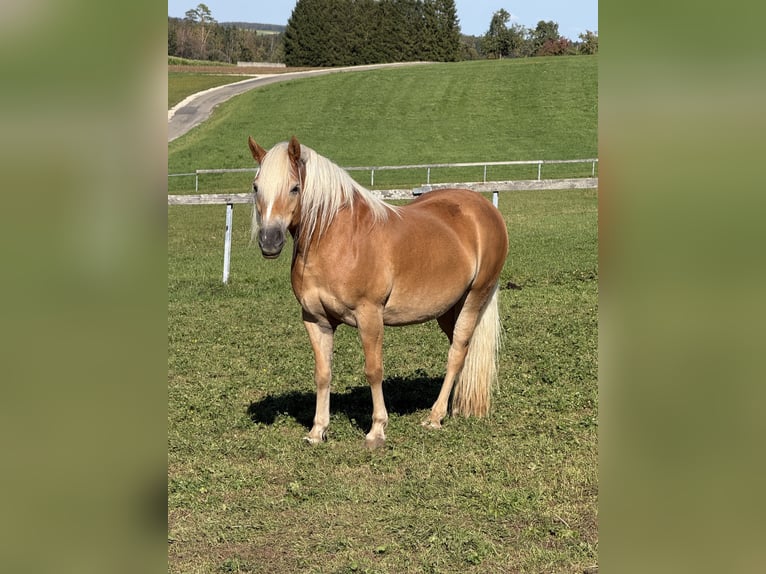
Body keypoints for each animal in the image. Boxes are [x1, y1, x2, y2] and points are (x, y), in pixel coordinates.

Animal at [247, 136, 509, 448]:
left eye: (295, 187)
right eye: (256, 187)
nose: (269, 241)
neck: (338, 238)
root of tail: (485, 209)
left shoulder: (369, 316)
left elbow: (374, 371)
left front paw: (377, 430)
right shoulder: (315, 320)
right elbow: (323, 373)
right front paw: (317, 431)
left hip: (475, 297)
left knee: (457, 352)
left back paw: (434, 417)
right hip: (447, 309)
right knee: (461, 351)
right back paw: (453, 407)